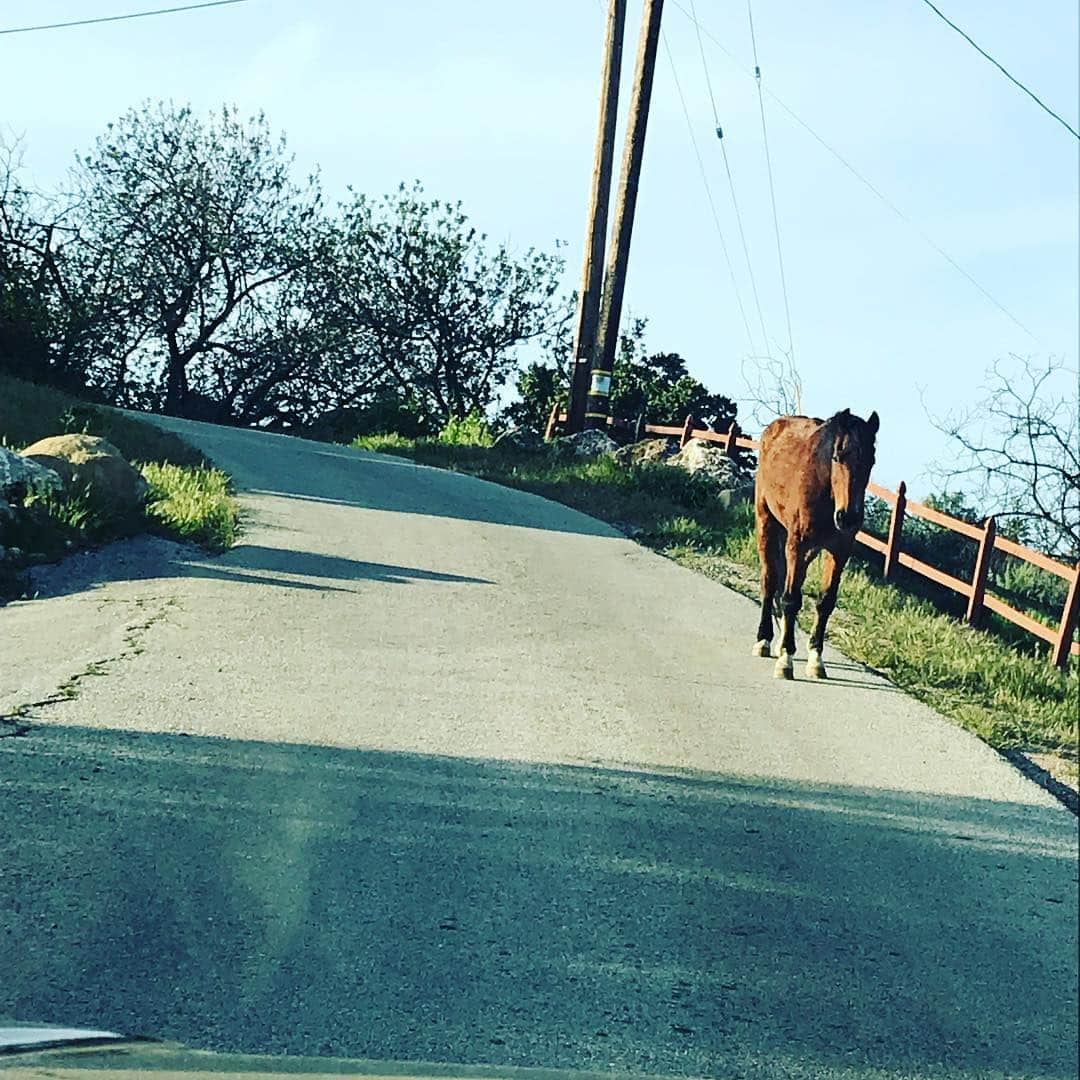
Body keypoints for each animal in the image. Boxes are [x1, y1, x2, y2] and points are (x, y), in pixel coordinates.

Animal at [751, 406, 876, 673]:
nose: (848, 517)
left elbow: (825, 601)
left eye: (871, 462)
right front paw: (786, 659)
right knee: (770, 581)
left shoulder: (839, 551)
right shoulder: (797, 544)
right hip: (767, 523)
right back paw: (764, 640)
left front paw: (816, 658)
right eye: (837, 457)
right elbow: (790, 599)